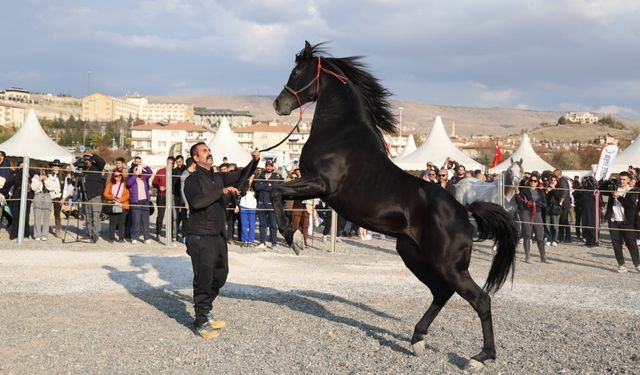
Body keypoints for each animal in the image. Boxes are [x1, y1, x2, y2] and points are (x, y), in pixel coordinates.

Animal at [270, 41, 516, 370]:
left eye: (297, 72)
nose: (279, 104)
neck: (339, 133)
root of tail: (465, 213)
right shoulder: (312, 185)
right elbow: (287, 197)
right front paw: (296, 237)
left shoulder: (321, 184)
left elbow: (273, 190)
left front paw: (293, 239)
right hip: (413, 255)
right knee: (441, 293)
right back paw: (417, 339)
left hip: (447, 265)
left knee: (479, 299)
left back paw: (480, 357)